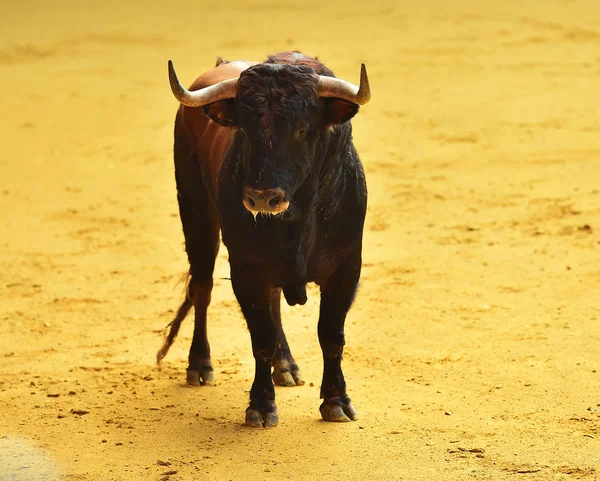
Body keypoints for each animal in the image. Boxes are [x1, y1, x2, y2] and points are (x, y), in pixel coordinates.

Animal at [157, 51, 370, 428]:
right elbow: (261, 337)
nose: (261, 198)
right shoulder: (247, 268)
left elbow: (331, 334)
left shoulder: (346, 268)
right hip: (196, 214)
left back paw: (285, 367)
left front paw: (337, 401)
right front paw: (261, 405)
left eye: (303, 129)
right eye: (243, 128)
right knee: (202, 288)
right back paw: (200, 365)